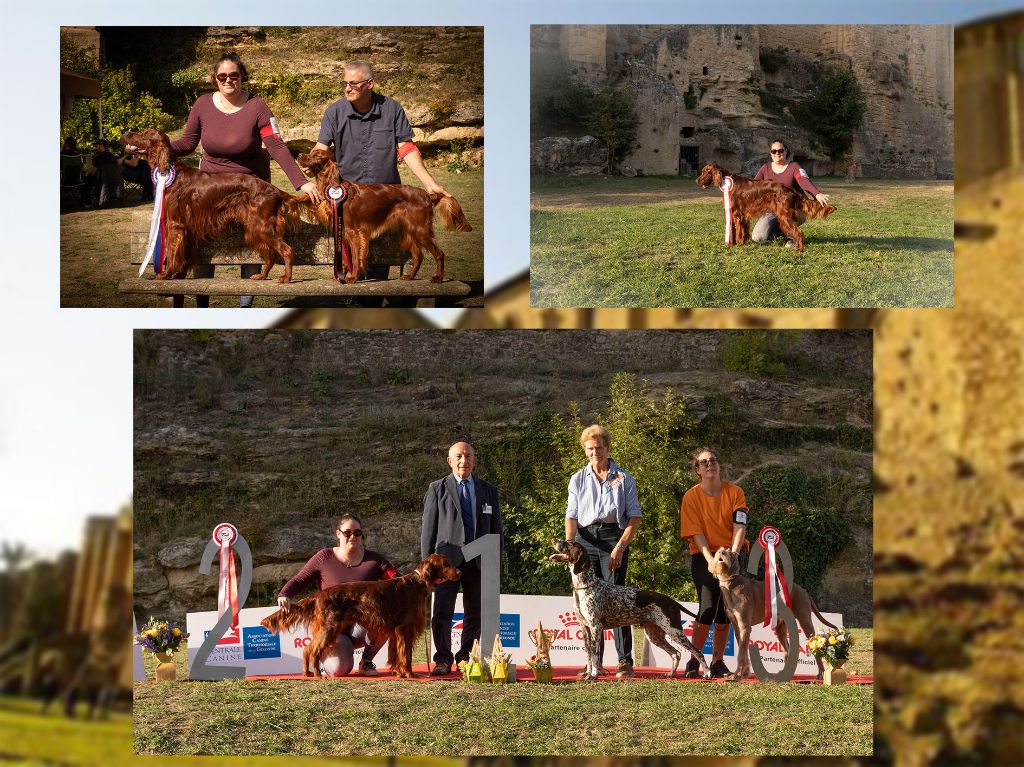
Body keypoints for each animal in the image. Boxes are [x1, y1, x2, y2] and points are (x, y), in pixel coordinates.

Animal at [117, 128, 315, 284]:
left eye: (145, 134)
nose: (124, 133)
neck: (170, 173)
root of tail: (275, 190)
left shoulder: (175, 224)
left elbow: (172, 252)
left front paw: (166, 274)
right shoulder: (187, 228)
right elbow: (185, 253)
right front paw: (179, 274)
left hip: (263, 226)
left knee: (287, 250)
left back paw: (286, 278)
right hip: (255, 229)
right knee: (270, 254)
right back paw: (261, 276)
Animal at [260, 552, 460, 679]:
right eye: (446, 564)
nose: (460, 572)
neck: (417, 583)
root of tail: (319, 595)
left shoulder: (396, 630)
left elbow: (396, 655)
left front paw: (399, 673)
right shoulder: (405, 628)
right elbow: (407, 655)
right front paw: (410, 674)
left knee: (307, 649)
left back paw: (307, 673)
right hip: (329, 628)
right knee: (312, 650)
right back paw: (316, 674)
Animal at [692, 162, 835, 250]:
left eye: (706, 172)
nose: (696, 180)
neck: (726, 181)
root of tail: (790, 190)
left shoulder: (736, 214)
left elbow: (736, 231)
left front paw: (735, 244)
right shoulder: (742, 215)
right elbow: (740, 230)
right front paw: (740, 242)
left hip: (784, 216)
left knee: (799, 233)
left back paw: (799, 250)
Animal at [708, 544, 843, 675]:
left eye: (730, 553)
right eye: (719, 551)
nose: (722, 552)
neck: (731, 585)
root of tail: (804, 590)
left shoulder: (744, 626)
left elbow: (742, 652)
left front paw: (738, 674)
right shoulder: (737, 627)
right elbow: (743, 651)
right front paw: (741, 673)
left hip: (805, 620)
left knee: (814, 647)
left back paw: (821, 673)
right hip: (780, 627)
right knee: (787, 650)